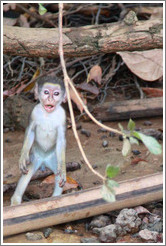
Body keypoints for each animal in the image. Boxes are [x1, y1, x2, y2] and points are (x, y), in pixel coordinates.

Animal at [10, 75, 67, 206]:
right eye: (46, 92)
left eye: (56, 93)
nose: (50, 99)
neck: (48, 114)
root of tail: (44, 161)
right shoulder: (34, 112)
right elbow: (30, 131)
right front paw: (23, 155)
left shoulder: (63, 116)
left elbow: (61, 141)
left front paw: (63, 169)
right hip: (35, 157)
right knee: (25, 176)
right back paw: (15, 201)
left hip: (53, 159)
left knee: (57, 177)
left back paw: (55, 197)